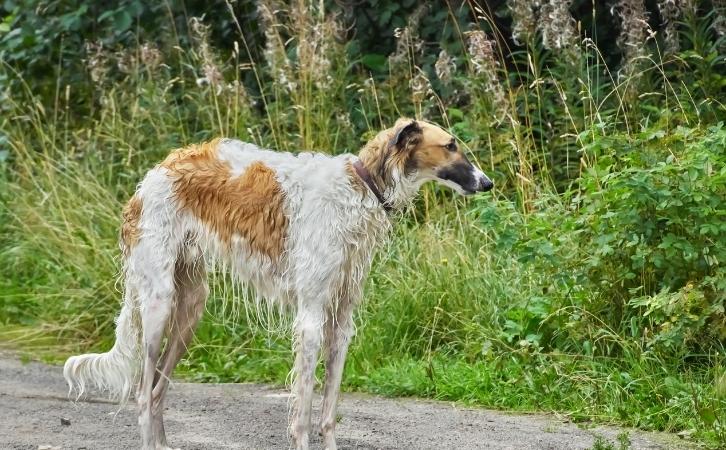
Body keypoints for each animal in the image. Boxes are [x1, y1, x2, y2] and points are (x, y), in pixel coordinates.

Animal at [64, 118, 494, 448]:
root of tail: (155, 173)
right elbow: (303, 409)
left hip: (191, 307)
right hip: (158, 303)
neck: (360, 189)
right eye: (450, 146)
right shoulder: (311, 318)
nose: (488, 183)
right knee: (141, 394)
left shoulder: (342, 322)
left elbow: (328, 410)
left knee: (156, 393)